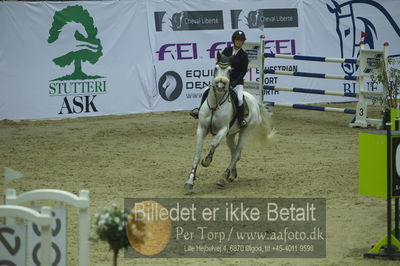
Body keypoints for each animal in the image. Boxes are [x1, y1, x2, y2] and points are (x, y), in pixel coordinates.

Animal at [185, 52, 276, 189]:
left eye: (230, 70)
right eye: (216, 68)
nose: (220, 85)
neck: (216, 103)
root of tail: (255, 102)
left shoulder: (223, 129)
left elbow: (214, 143)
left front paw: (207, 161)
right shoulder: (201, 128)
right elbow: (197, 153)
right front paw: (190, 180)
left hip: (245, 131)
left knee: (237, 153)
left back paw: (223, 177)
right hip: (230, 135)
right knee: (234, 153)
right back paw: (231, 175)